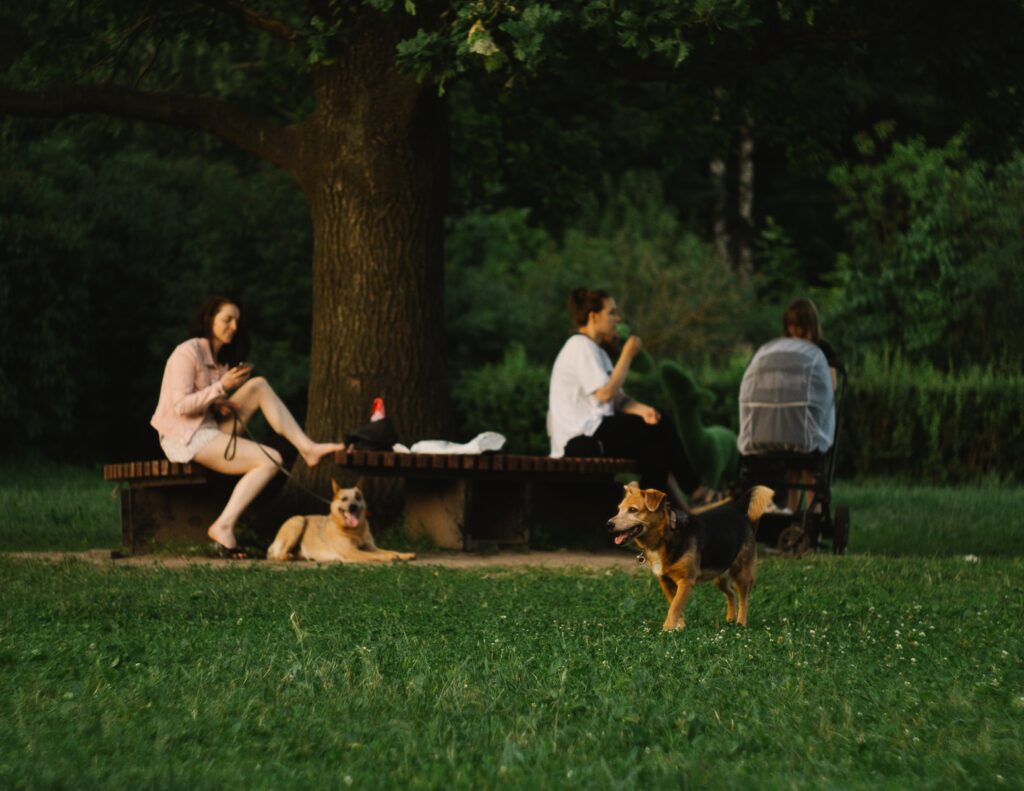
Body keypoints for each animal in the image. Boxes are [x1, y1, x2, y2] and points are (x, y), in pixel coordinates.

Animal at [270, 481, 417, 561]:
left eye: (358, 497)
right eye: (344, 499)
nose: (353, 507)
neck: (355, 531)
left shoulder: (371, 547)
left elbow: (390, 550)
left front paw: (404, 555)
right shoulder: (351, 551)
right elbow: (379, 555)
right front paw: (391, 558)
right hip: (298, 520)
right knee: (278, 555)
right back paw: (288, 556)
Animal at [602, 481, 770, 631]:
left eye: (633, 510)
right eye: (618, 510)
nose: (608, 524)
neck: (663, 537)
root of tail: (737, 511)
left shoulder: (686, 581)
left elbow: (675, 607)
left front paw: (667, 630)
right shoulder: (665, 582)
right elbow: (675, 605)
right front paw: (680, 628)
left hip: (743, 574)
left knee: (744, 600)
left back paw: (740, 623)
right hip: (719, 576)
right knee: (731, 593)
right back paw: (730, 619)